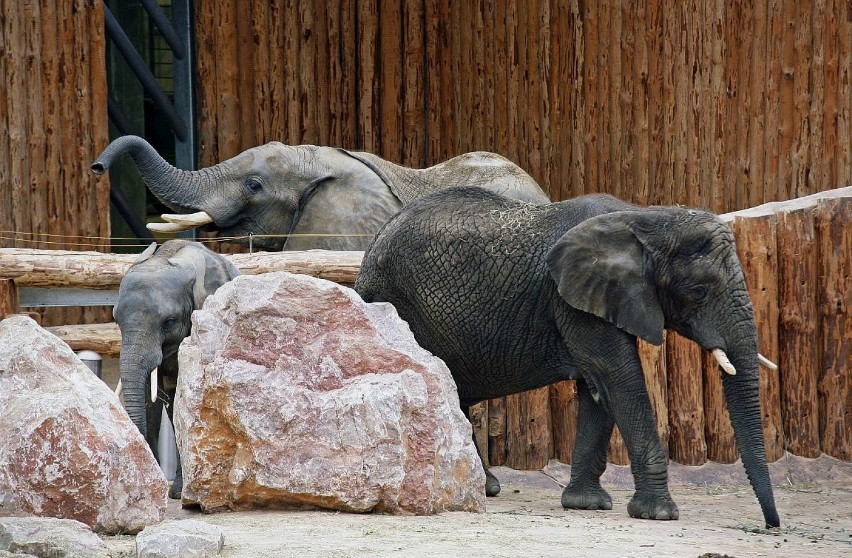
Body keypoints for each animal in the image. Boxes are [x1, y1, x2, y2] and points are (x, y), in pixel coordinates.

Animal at [356, 187, 784, 528]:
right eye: (698, 291)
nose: (771, 526)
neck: (643, 218)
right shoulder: (570, 300)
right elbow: (619, 377)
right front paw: (658, 514)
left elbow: (598, 388)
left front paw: (585, 504)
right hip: (396, 300)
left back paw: (487, 487)